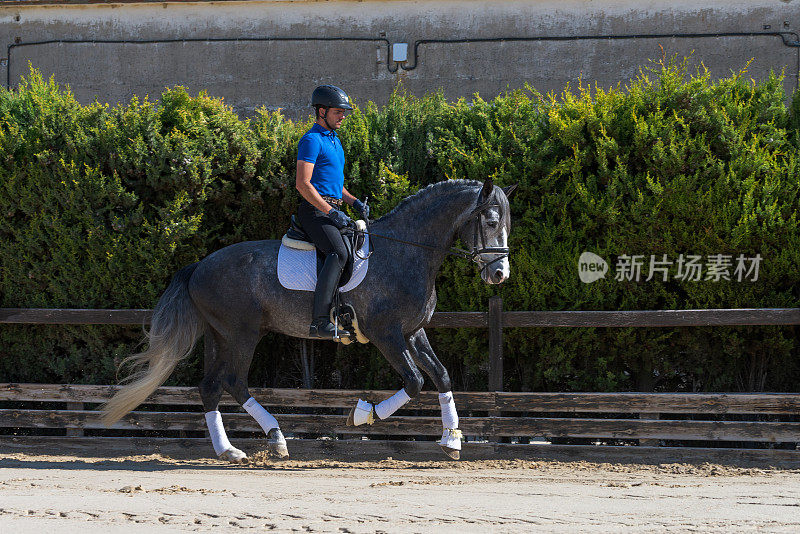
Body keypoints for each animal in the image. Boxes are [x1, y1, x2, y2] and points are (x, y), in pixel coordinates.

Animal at [100, 178, 516, 462]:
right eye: (491, 221)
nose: (500, 275)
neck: (407, 252)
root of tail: (199, 266)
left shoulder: (412, 332)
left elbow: (441, 376)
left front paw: (452, 440)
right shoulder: (386, 334)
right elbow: (414, 382)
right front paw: (361, 416)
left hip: (221, 335)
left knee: (211, 387)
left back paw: (232, 449)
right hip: (241, 334)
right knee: (233, 382)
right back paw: (272, 439)